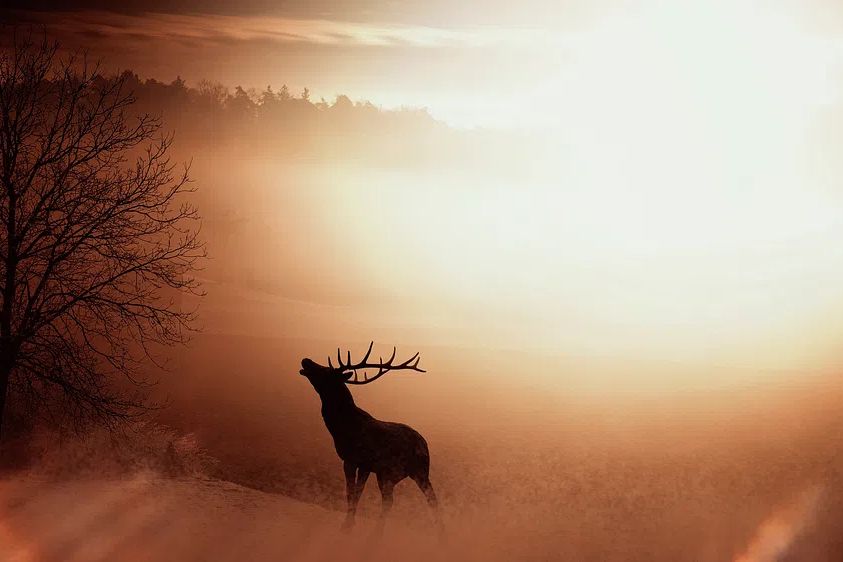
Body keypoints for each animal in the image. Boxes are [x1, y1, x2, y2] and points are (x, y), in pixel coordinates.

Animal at [299, 342, 442, 534]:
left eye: (327, 371)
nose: (306, 360)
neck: (339, 427)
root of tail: (424, 446)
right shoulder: (366, 466)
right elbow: (357, 493)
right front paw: (350, 523)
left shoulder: (352, 459)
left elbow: (351, 492)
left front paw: (347, 525)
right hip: (402, 473)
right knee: (410, 499)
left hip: (403, 471)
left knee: (407, 500)